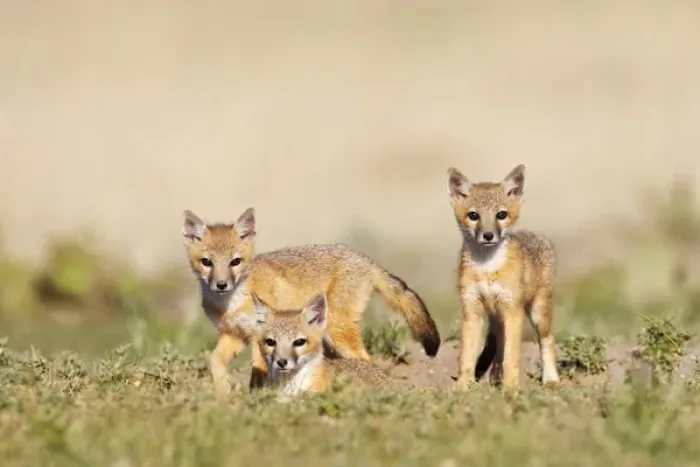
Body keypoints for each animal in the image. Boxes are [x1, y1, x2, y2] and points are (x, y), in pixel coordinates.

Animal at [446, 163, 560, 391]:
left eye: (501, 215)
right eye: (474, 215)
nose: (488, 235)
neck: (487, 268)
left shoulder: (512, 310)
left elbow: (511, 357)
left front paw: (510, 389)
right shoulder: (472, 309)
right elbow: (466, 357)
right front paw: (462, 387)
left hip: (537, 313)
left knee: (547, 341)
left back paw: (551, 379)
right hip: (496, 318)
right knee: (498, 346)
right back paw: (495, 379)